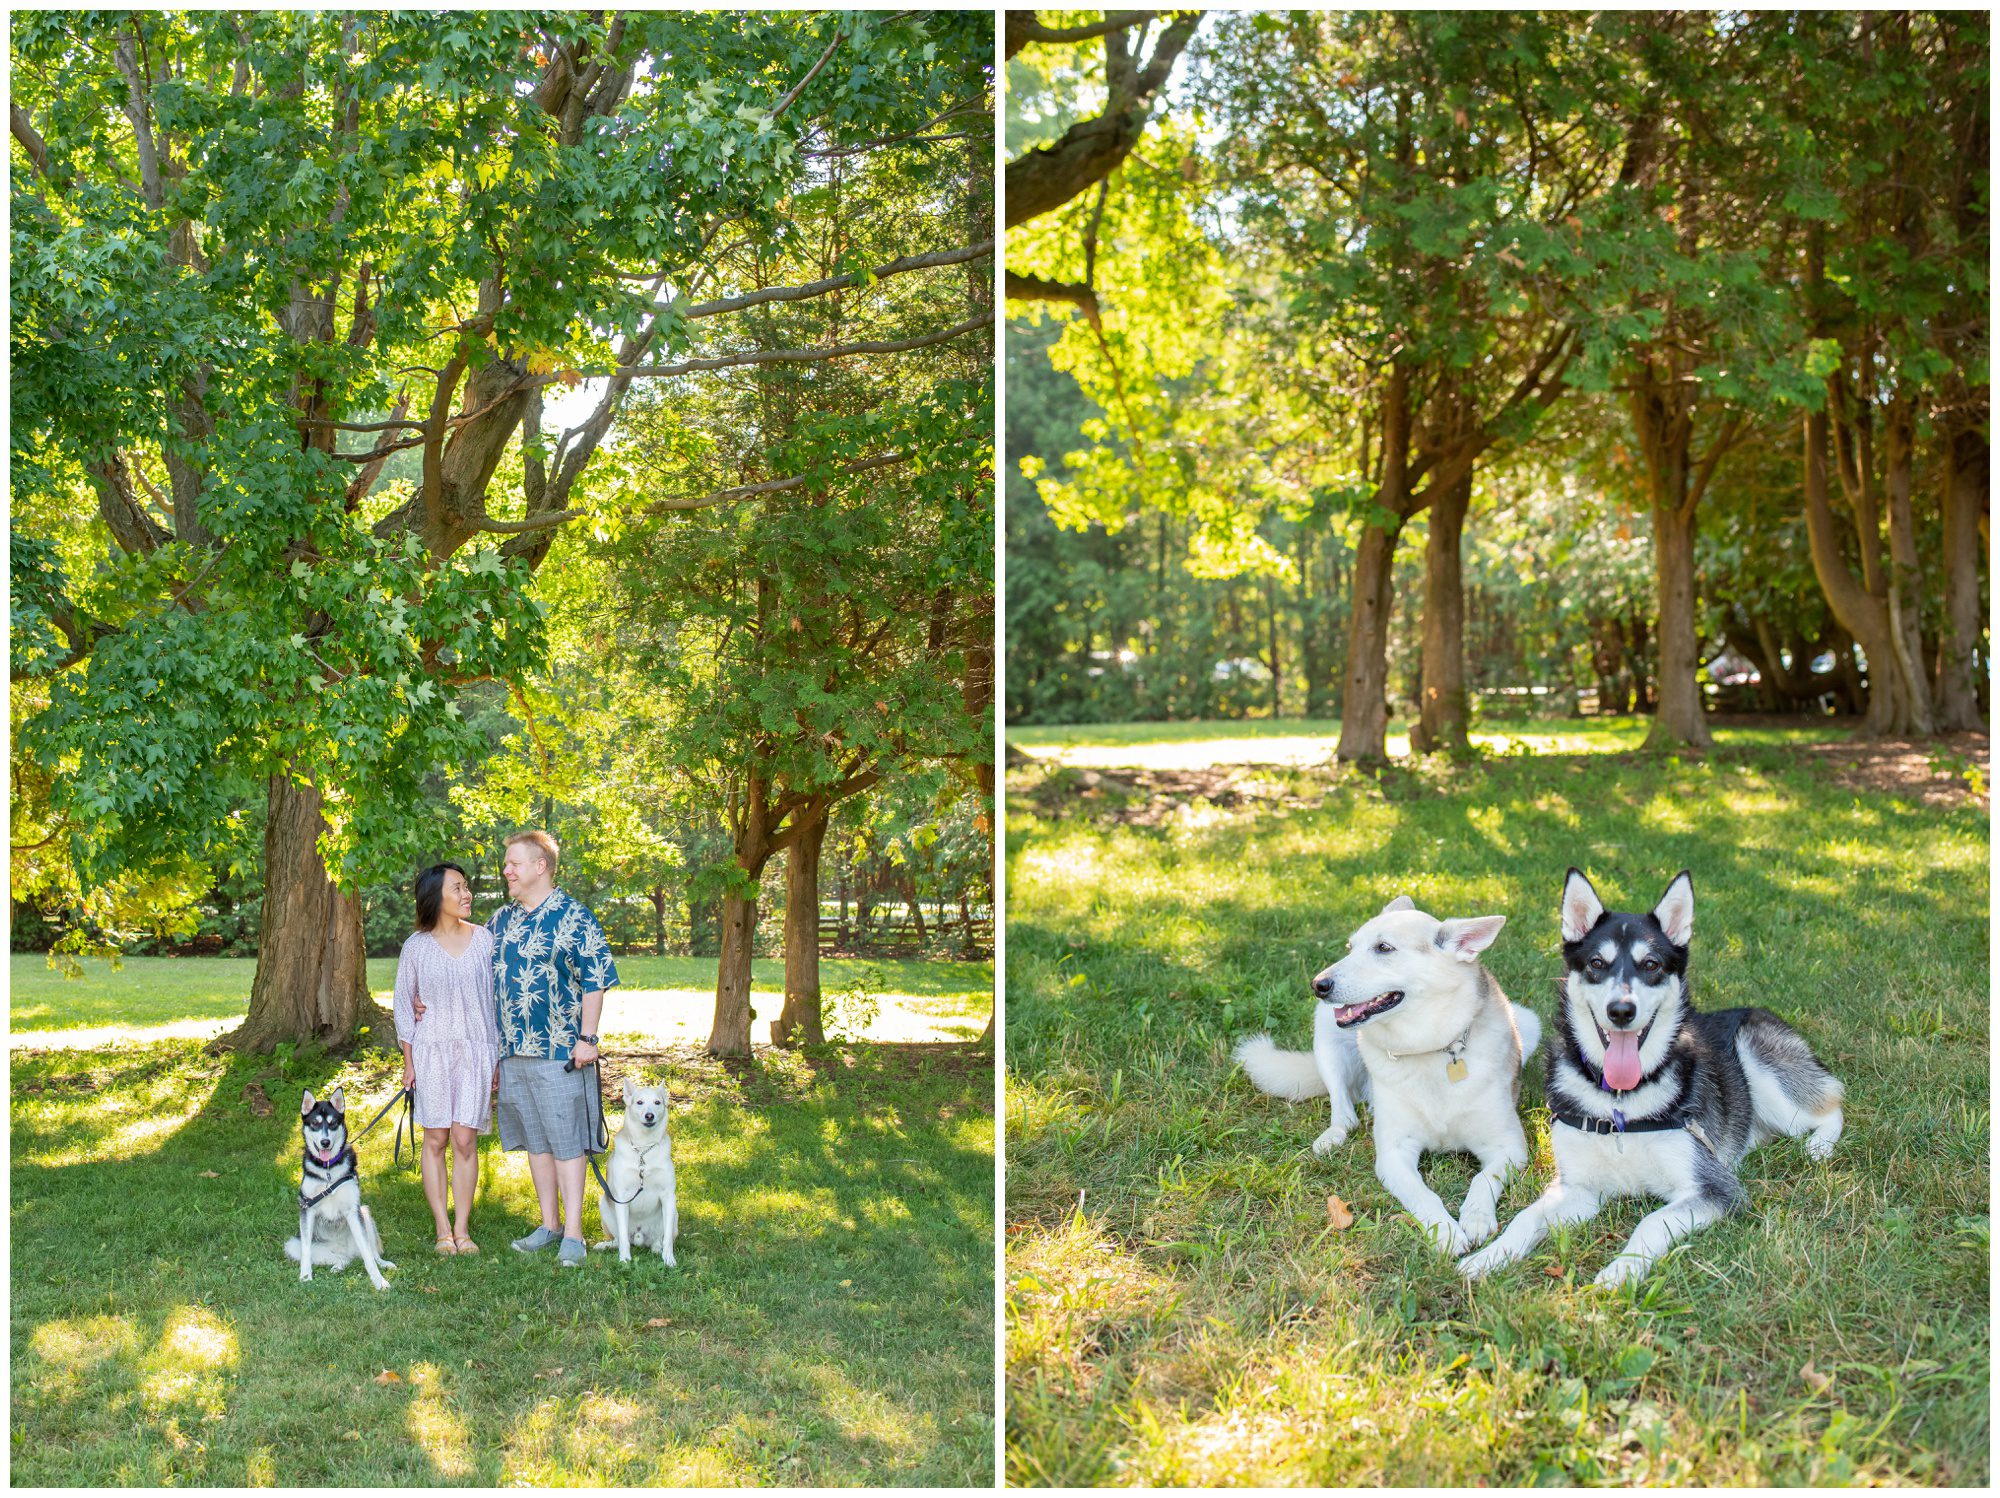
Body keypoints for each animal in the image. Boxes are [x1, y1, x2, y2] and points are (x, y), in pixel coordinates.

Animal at [592, 1080, 680, 1256]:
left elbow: (667, 1239)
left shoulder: (668, 1196)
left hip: (674, 1213)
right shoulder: (622, 1196)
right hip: (604, 1205)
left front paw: (669, 1258)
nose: (649, 1115)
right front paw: (624, 1259)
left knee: (659, 1238)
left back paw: (657, 1248)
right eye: (639, 1102)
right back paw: (606, 1245)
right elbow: (623, 1239)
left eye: (657, 1102)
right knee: (618, 1238)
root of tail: (640, 1237)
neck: (643, 1148)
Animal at [1232, 896, 1544, 1256]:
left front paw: (1476, 1218)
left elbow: (1482, 1180)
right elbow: (1425, 1197)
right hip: (1327, 1034)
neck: (1429, 1047)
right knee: (1343, 1108)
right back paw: (1335, 1133)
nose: (1317, 985)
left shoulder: (1508, 1147)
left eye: (1384, 948)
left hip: (1529, 1022)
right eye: (1350, 947)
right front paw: (1446, 1232)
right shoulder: (1394, 1155)